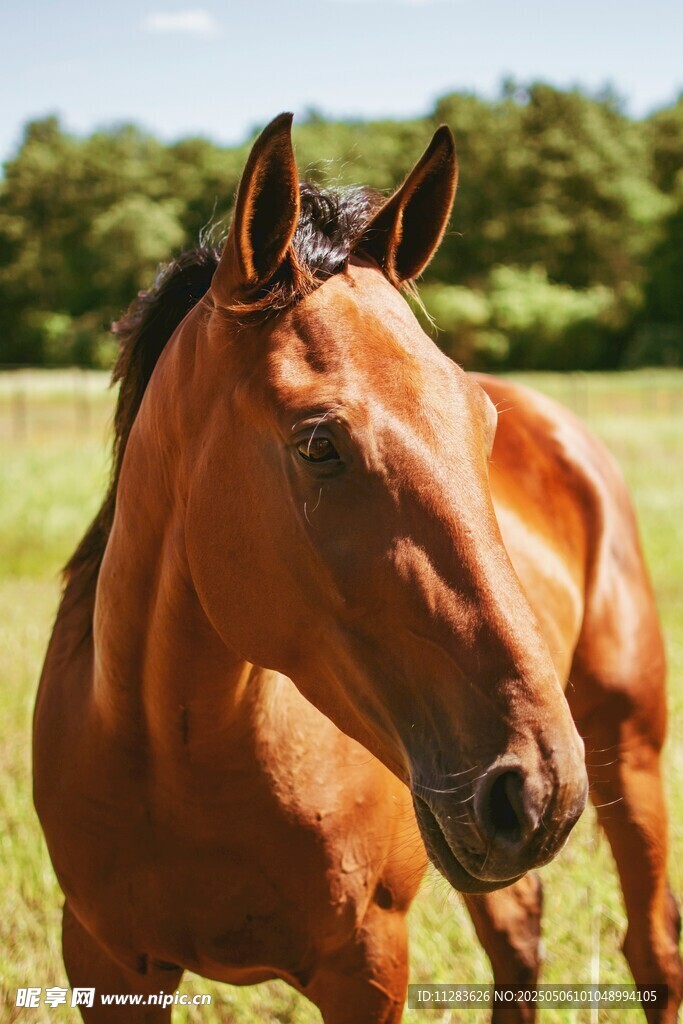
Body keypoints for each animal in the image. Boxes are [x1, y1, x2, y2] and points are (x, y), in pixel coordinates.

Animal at [33, 114, 681, 1023]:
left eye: (480, 425)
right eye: (317, 443)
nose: (539, 786)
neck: (173, 758)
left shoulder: (367, 966)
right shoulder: (107, 962)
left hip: (630, 749)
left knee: (651, 947)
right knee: (516, 943)